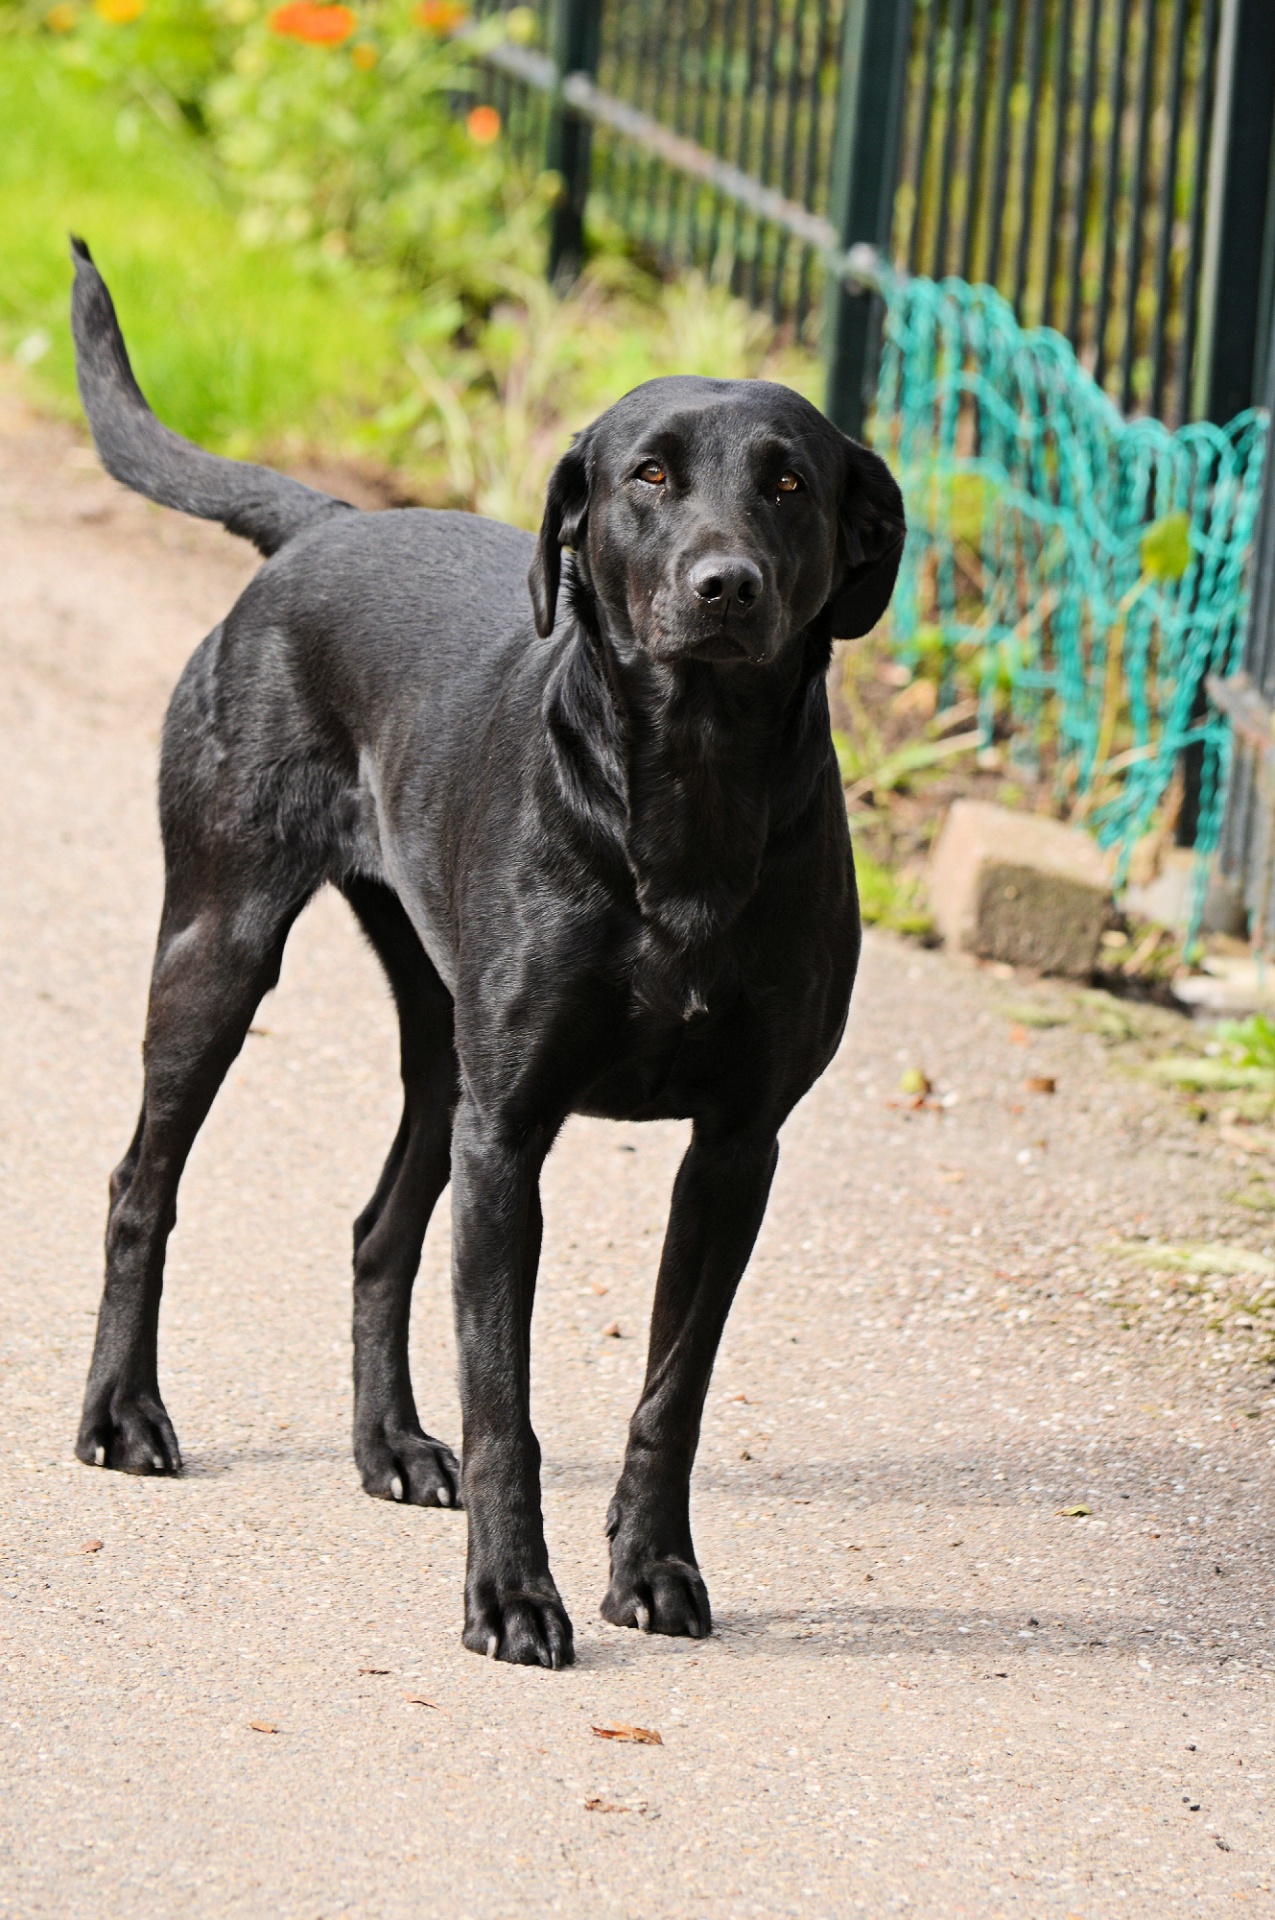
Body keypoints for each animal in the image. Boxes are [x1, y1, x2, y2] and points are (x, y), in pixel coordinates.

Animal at [72, 243, 906, 1666]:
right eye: (648, 477)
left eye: (791, 481)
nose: (725, 584)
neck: (685, 796)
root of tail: (326, 524)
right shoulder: (512, 1134)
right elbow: (505, 1397)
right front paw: (514, 1597)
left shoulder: (735, 1149)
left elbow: (672, 1393)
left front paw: (654, 1569)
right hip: (220, 950)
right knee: (144, 1183)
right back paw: (125, 1414)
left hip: (438, 1054)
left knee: (376, 1232)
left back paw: (391, 1445)